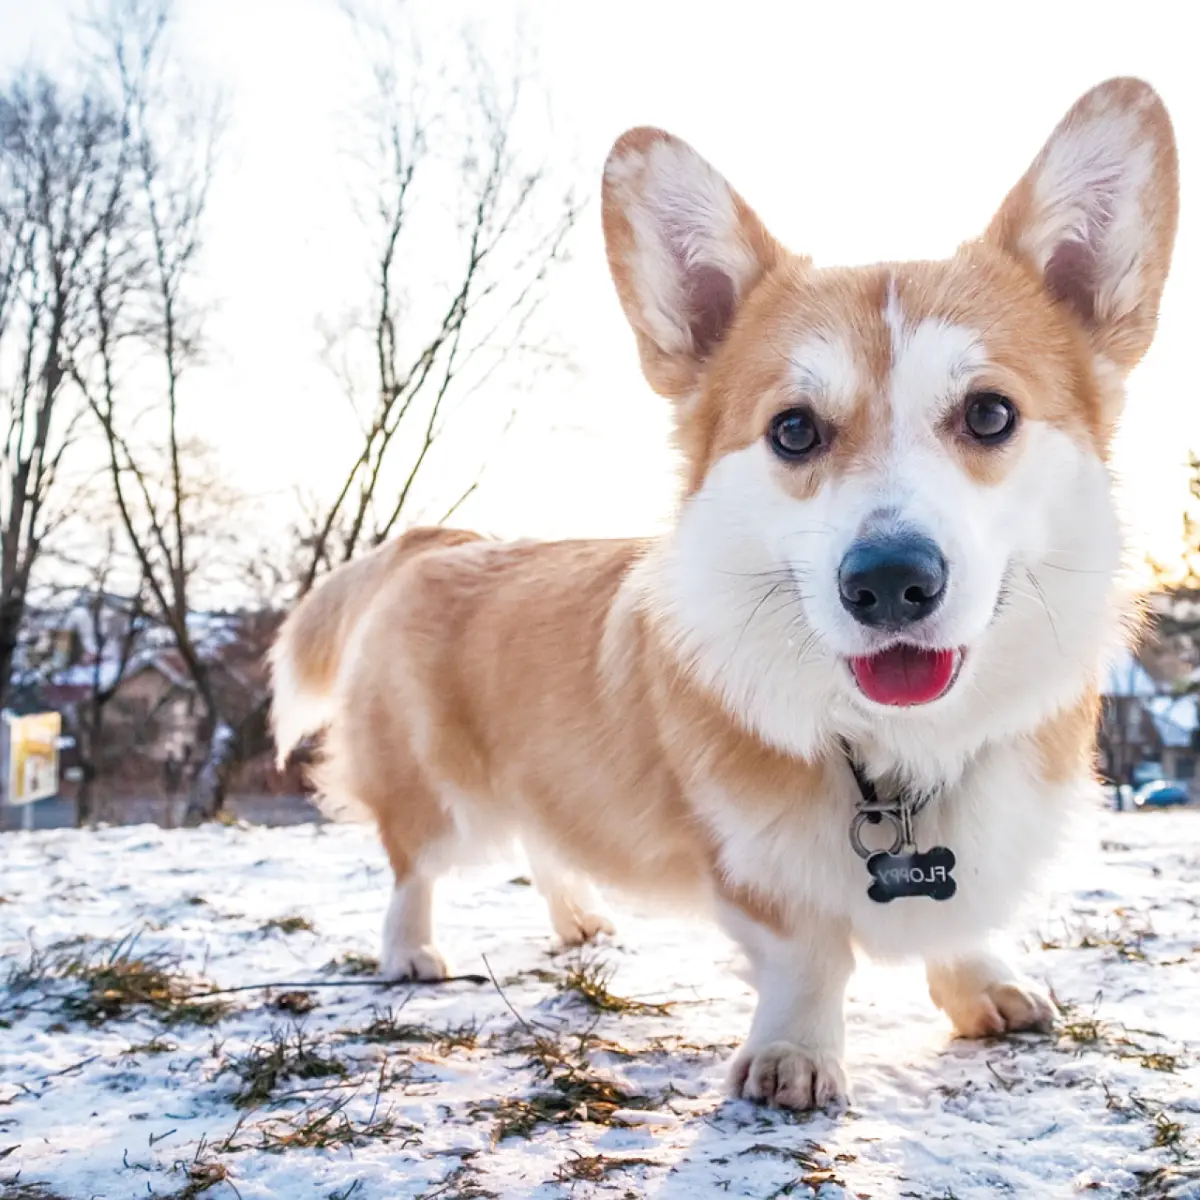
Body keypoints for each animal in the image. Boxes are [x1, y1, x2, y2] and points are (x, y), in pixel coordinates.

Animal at [270, 79, 1171, 1108]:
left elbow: (960, 918)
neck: (897, 750)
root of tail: (443, 540)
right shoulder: (755, 868)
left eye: (990, 414)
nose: (889, 583)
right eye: (793, 430)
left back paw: (579, 920)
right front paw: (794, 1059)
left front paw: (981, 984)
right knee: (410, 866)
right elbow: (808, 958)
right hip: (435, 792)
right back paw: (411, 952)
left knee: (545, 841)